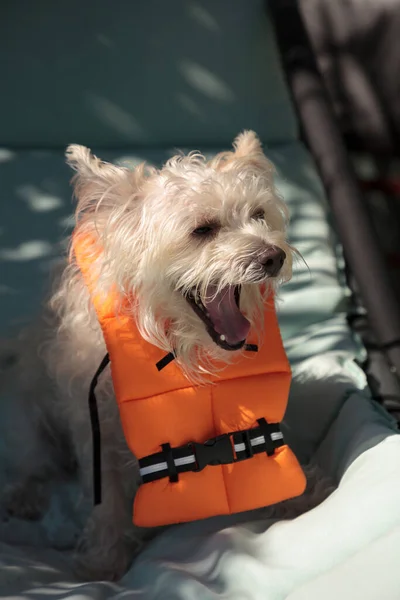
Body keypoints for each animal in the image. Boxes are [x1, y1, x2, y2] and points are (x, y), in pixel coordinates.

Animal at [0, 131, 332, 580]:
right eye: (203, 229)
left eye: (259, 215)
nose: (273, 256)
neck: (180, 349)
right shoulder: (95, 424)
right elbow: (106, 496)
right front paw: (104, 559)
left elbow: (265, 445)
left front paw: (298, 494)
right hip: (28, 403)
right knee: (35, 456)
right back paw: (25, 493)